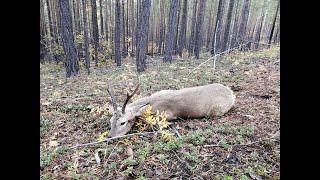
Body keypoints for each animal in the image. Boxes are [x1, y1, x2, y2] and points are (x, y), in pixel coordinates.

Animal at [107, 83, 235, 138]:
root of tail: (232, 94)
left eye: (122, 122)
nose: (110, 136)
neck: (150, 103)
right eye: (111, 121)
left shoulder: (167, 114)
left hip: (216, 110)